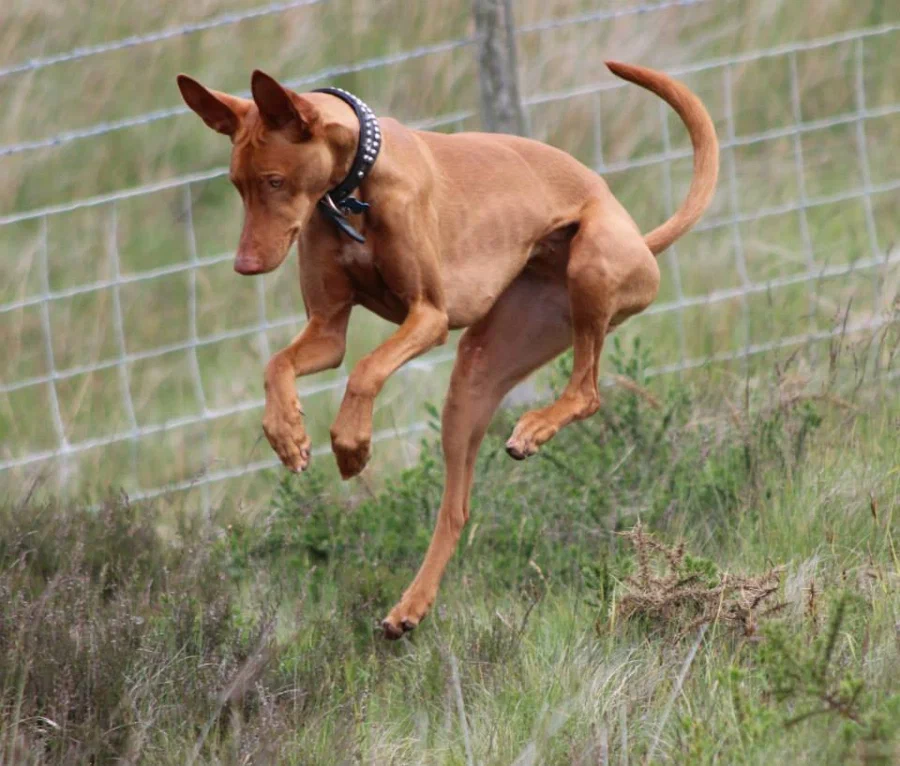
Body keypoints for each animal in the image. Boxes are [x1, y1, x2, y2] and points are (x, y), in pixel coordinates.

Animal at [179, 60, 720, 640]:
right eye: (237, 185)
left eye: (275, 181)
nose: (245, 265)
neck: (355, 185)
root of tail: (642, 239)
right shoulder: (327, 331)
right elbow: (277, 364)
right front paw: (286, 434)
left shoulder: (429, 316)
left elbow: (366, 370)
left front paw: (351, 445)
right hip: (476, 375)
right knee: (456, 508)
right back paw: (410, 607)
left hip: (590, 266)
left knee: (588, 391)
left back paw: (534, 429)